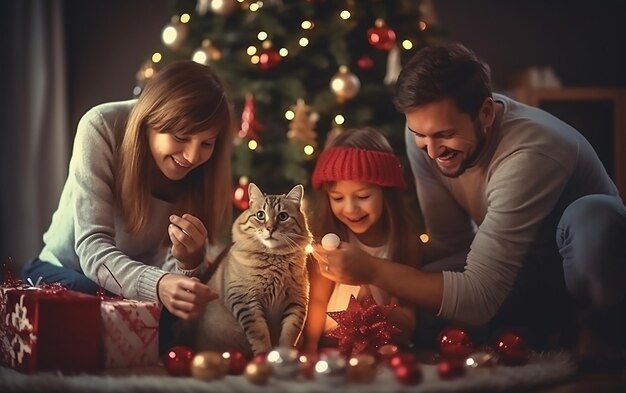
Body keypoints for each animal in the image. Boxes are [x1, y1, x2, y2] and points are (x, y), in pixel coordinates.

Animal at [188, 182, 310, 356]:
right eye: (260, 215)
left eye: (283, 216)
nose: (270, 228)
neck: (274, 258)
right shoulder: (245, 300)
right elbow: (259, 333)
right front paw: (263, 356)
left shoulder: (296, 302)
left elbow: (289, 334)